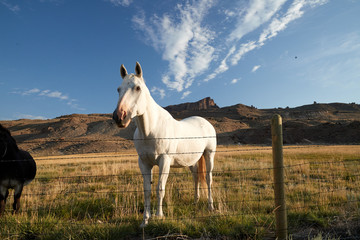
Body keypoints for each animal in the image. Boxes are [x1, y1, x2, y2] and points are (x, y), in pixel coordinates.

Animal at [113, 62, 217, 227]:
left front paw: (159, 215)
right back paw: (195, 201)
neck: (150, 130)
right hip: (192, 160)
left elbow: (160, 188)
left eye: (138, 88)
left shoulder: (164, 161)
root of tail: (205, 122)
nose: (119, 117)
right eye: (118, 89)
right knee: (196, 177)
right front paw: (145, 220)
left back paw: (210, 206)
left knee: (208, 179)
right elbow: (147, 190)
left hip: (209, 154)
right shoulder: (144, 163)